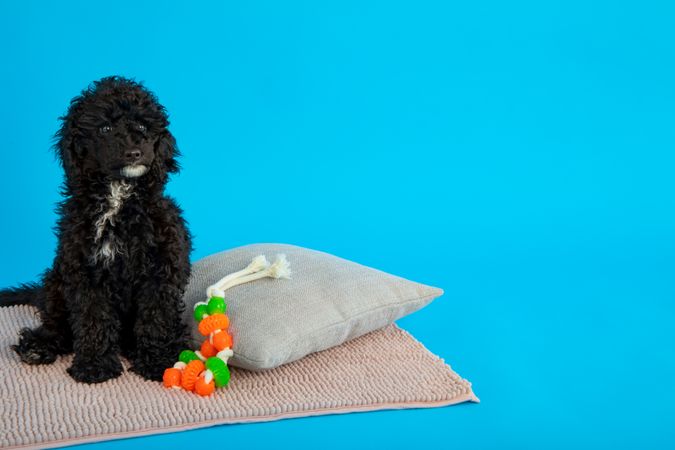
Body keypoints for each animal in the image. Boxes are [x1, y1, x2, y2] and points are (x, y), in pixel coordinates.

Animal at [0, 76, 193, 384]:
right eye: (105, 129)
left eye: (142, 127)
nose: (134, 153)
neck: (118, 200)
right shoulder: (85, 271)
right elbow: (93, 319)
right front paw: (95, 365)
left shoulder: (161, 269)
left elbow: (156, 318)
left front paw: (157, 360)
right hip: (56, 282)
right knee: (56, 326)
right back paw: (38, 346)